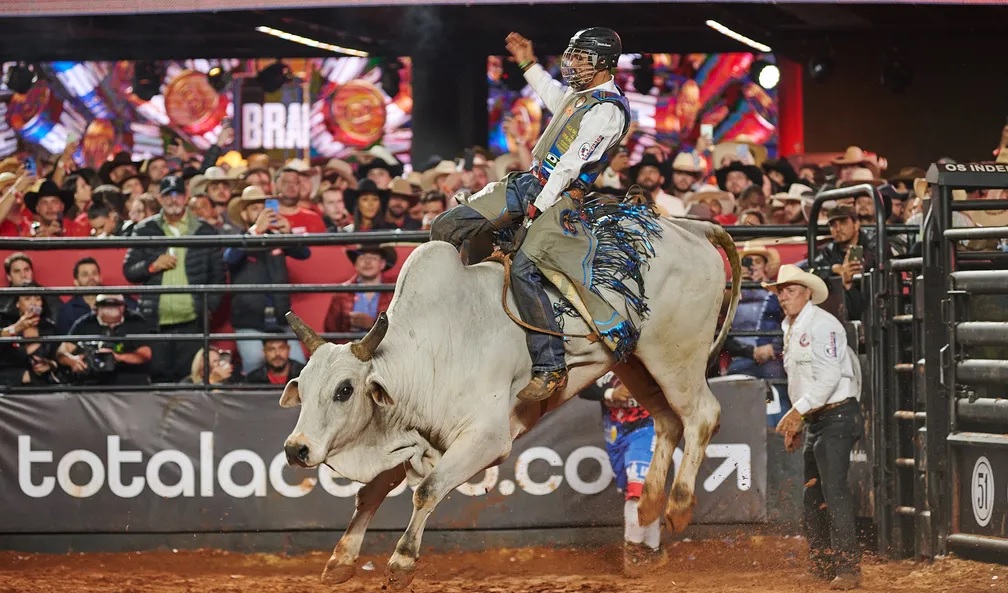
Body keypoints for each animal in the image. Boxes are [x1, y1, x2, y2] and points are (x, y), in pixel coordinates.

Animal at [280, 217, 745, 588]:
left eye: (344, 389)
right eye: (303, 386)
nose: (295, 449)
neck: (428, 352)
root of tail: (689, 228)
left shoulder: (485, 439)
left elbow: (427, 490)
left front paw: (401, 562)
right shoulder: (411, 435)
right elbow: (371, 493)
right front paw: (340, 560)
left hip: (675, 356)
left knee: (702, 415)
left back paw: (678, 507)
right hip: (635, 361)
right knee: (667, 420)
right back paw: (648, 503)